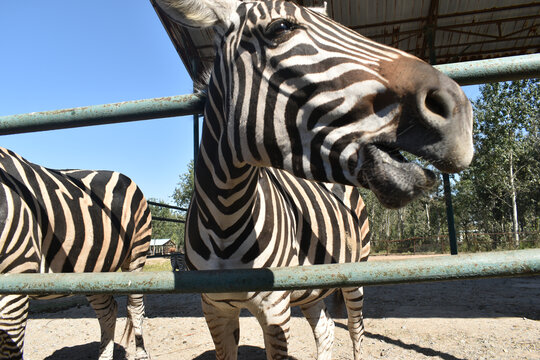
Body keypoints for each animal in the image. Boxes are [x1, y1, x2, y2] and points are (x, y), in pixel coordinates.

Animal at [0, 147, 152, 360]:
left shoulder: (15, 279)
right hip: (94, 268)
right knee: (108, 311)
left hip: (136, 255)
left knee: (135, 306)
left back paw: (141, 352)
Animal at [155, 1, 472, 358]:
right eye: (280, 27)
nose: (460, 108)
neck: (226, 215)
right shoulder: (214, 308)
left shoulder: (275, 307)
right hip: (312, 285)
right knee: (325, 329)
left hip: (356, 272)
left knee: (356, 331)